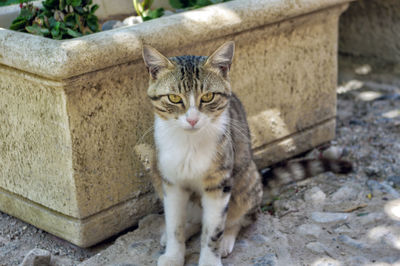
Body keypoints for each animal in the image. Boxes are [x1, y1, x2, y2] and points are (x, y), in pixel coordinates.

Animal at [141, 41, 354, 266]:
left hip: (245, 180)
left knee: (241, 217)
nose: (192, 119)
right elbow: (175, 224)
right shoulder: (171, 183)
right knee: (195, 219)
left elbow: (213, 229)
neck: (189, 143)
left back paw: (227, 238)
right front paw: (173, 254)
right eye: (174, 98)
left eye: (208, 96)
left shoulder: (219, 183)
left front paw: (210, 258)